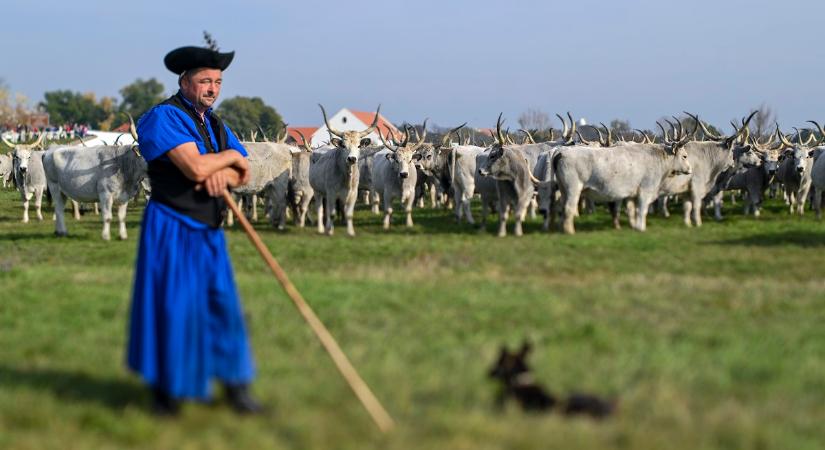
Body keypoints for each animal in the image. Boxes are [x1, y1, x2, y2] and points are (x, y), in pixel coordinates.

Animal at [308, 104, 380, 236]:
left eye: (358, 145)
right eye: (344, 146)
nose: (352, 158)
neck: (347, 177)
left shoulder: (353, 194)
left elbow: (348, 214)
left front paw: (350, 232)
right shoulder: (331, 193)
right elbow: (331, 213)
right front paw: (330, 231)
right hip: (317, 191)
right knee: (320, 209)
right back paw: (321, 228)